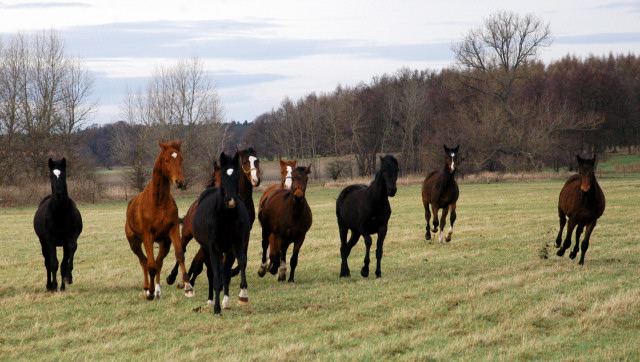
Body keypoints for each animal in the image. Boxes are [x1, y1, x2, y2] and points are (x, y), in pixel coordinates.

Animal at [33, 158, 83, 292]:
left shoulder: (70, 237)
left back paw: (62, 286)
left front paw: (67, 279)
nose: (58, 194)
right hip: (43, 242)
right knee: (47, 262)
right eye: (51, 175)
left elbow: (67, 260)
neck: (60, 212)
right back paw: (49, 285)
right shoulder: (50, 239)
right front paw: (54, 286)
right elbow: (53, 263)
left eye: (64, 174)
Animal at [124, 139, 185, 300]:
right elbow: (150, 265)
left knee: (158, 262)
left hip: (164, 242)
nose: (179, 182)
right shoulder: (148, 235)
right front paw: (149, 292)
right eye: (167, 160)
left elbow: (179, 255)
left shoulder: (173, 230)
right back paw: (147, 289)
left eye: (181, 159)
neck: (158, 201)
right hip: (134, 243)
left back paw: (157, 290)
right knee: (144, 261)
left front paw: (188, 287)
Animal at [169, 147, 264, 292]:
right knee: (182, 249)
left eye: (257, 161)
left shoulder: (243, 234)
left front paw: (230, 273)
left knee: (197, 260)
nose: (255, 180)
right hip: (187, 233)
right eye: (245, 162)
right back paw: (174, 278)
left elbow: (241, 257)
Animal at [190, 151, 250, 312]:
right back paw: (211, 301)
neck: (225, 217)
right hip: (205, 249)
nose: (231, 200)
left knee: (226, 272)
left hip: (227, 251)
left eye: (237, 175)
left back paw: (226, 301)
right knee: (211, 273)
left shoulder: (236, 244)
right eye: (223, 176)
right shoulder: (214, 248)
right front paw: (216, 308)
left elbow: (241, 263)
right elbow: (216, 277)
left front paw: (242, 296)